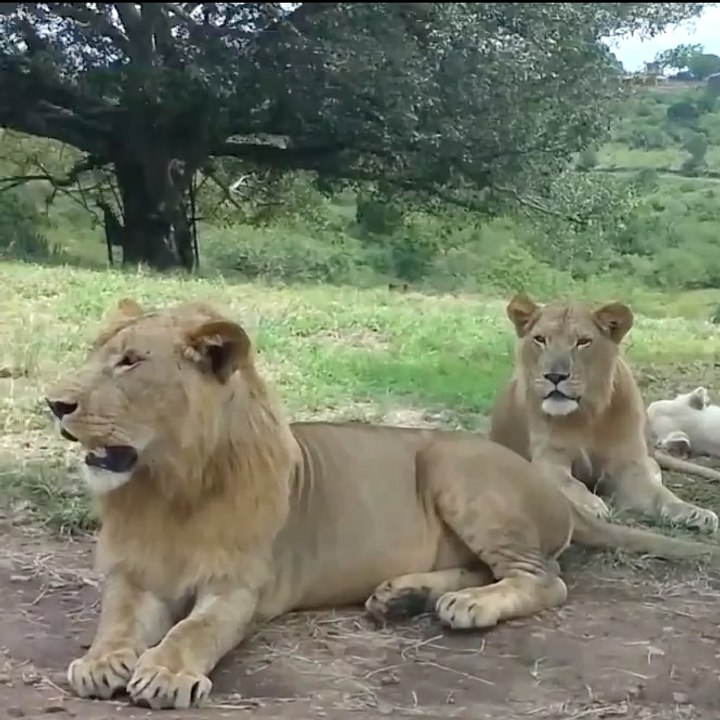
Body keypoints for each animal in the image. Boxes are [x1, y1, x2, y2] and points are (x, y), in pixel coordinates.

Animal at [489, 293, 720, 533]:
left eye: (583, 341)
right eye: (540, 339)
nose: (554, 376)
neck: (586, 414)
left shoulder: (627, 464)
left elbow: (661, 495)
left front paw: (695, 513)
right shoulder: (550, 460)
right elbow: (569, 483)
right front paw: (590, 505)